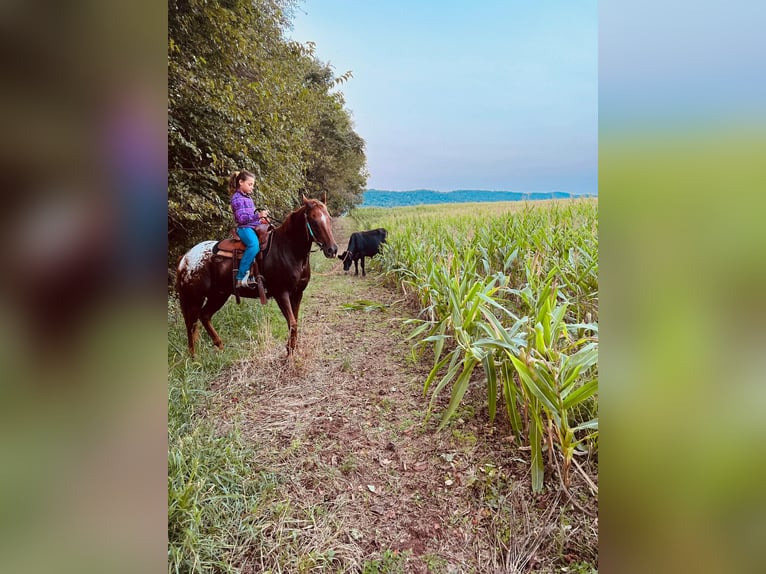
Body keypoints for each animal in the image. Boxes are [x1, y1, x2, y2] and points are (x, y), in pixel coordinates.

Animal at [179, 197, 340, 356]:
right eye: (313, 220)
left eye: (329, 218)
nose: (332, 249)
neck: (288, 249)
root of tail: (185, 258)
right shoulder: (281, 293)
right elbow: (292, 323)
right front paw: (289, 354)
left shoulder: (297, 293)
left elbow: (294, 322)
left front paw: (291, 350)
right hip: (195, 299)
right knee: (191, 324)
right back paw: (194, 357)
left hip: (219, 295)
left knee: (204, 316)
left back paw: (220, 345)